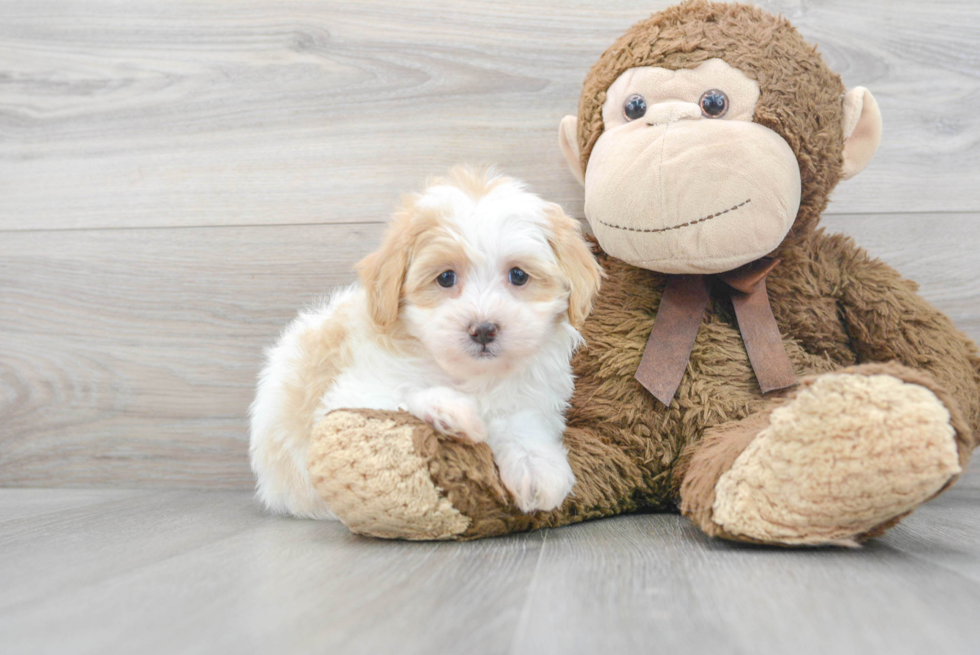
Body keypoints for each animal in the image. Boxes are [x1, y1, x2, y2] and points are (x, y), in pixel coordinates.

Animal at [249, 167, 600, 520]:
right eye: (445, 278)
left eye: (518, 275)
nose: (483, 329)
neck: (468, 375)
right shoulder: (349, 397)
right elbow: (400, 395)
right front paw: (450, 411)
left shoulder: (529, 398)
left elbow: (521, 423)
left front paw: (535, 467)